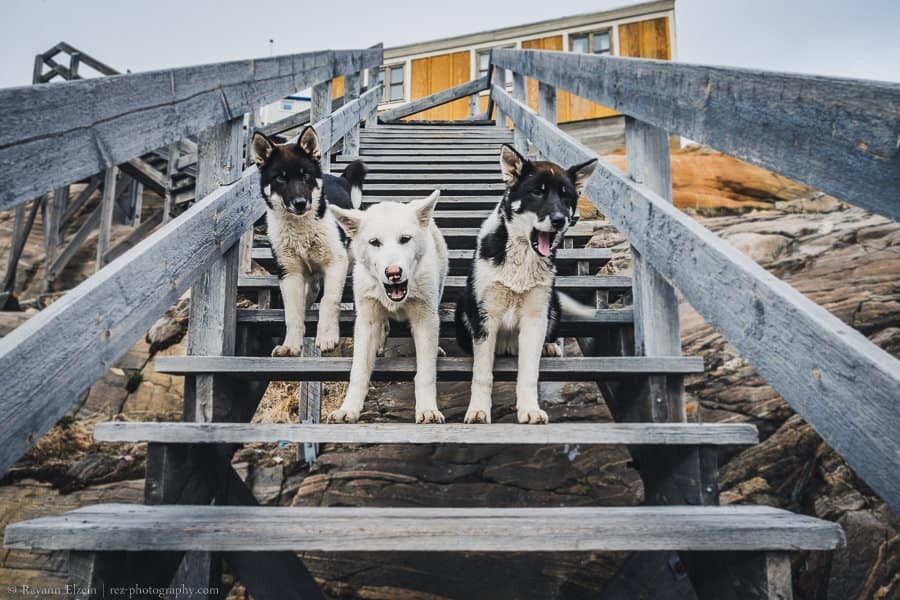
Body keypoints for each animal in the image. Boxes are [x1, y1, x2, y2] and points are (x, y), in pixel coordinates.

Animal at [250, 124, 366, 354]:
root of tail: (339, 178)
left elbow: (329, 301)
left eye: (305, 176)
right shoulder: (289, 273)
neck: (301, 228)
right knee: (310, 292)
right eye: (281, 178)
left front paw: (328, 337)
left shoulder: (336, 263)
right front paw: (290, 345)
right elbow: (292, 313)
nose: (300, 203)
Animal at [326, 191, 446, 422]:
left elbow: (426, 373)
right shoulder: (367, 320)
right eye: (374, 242)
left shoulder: (425, 318)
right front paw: (349, 409)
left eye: (405, 239)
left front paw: (428, 409)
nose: (393, 273)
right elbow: (359, 371)